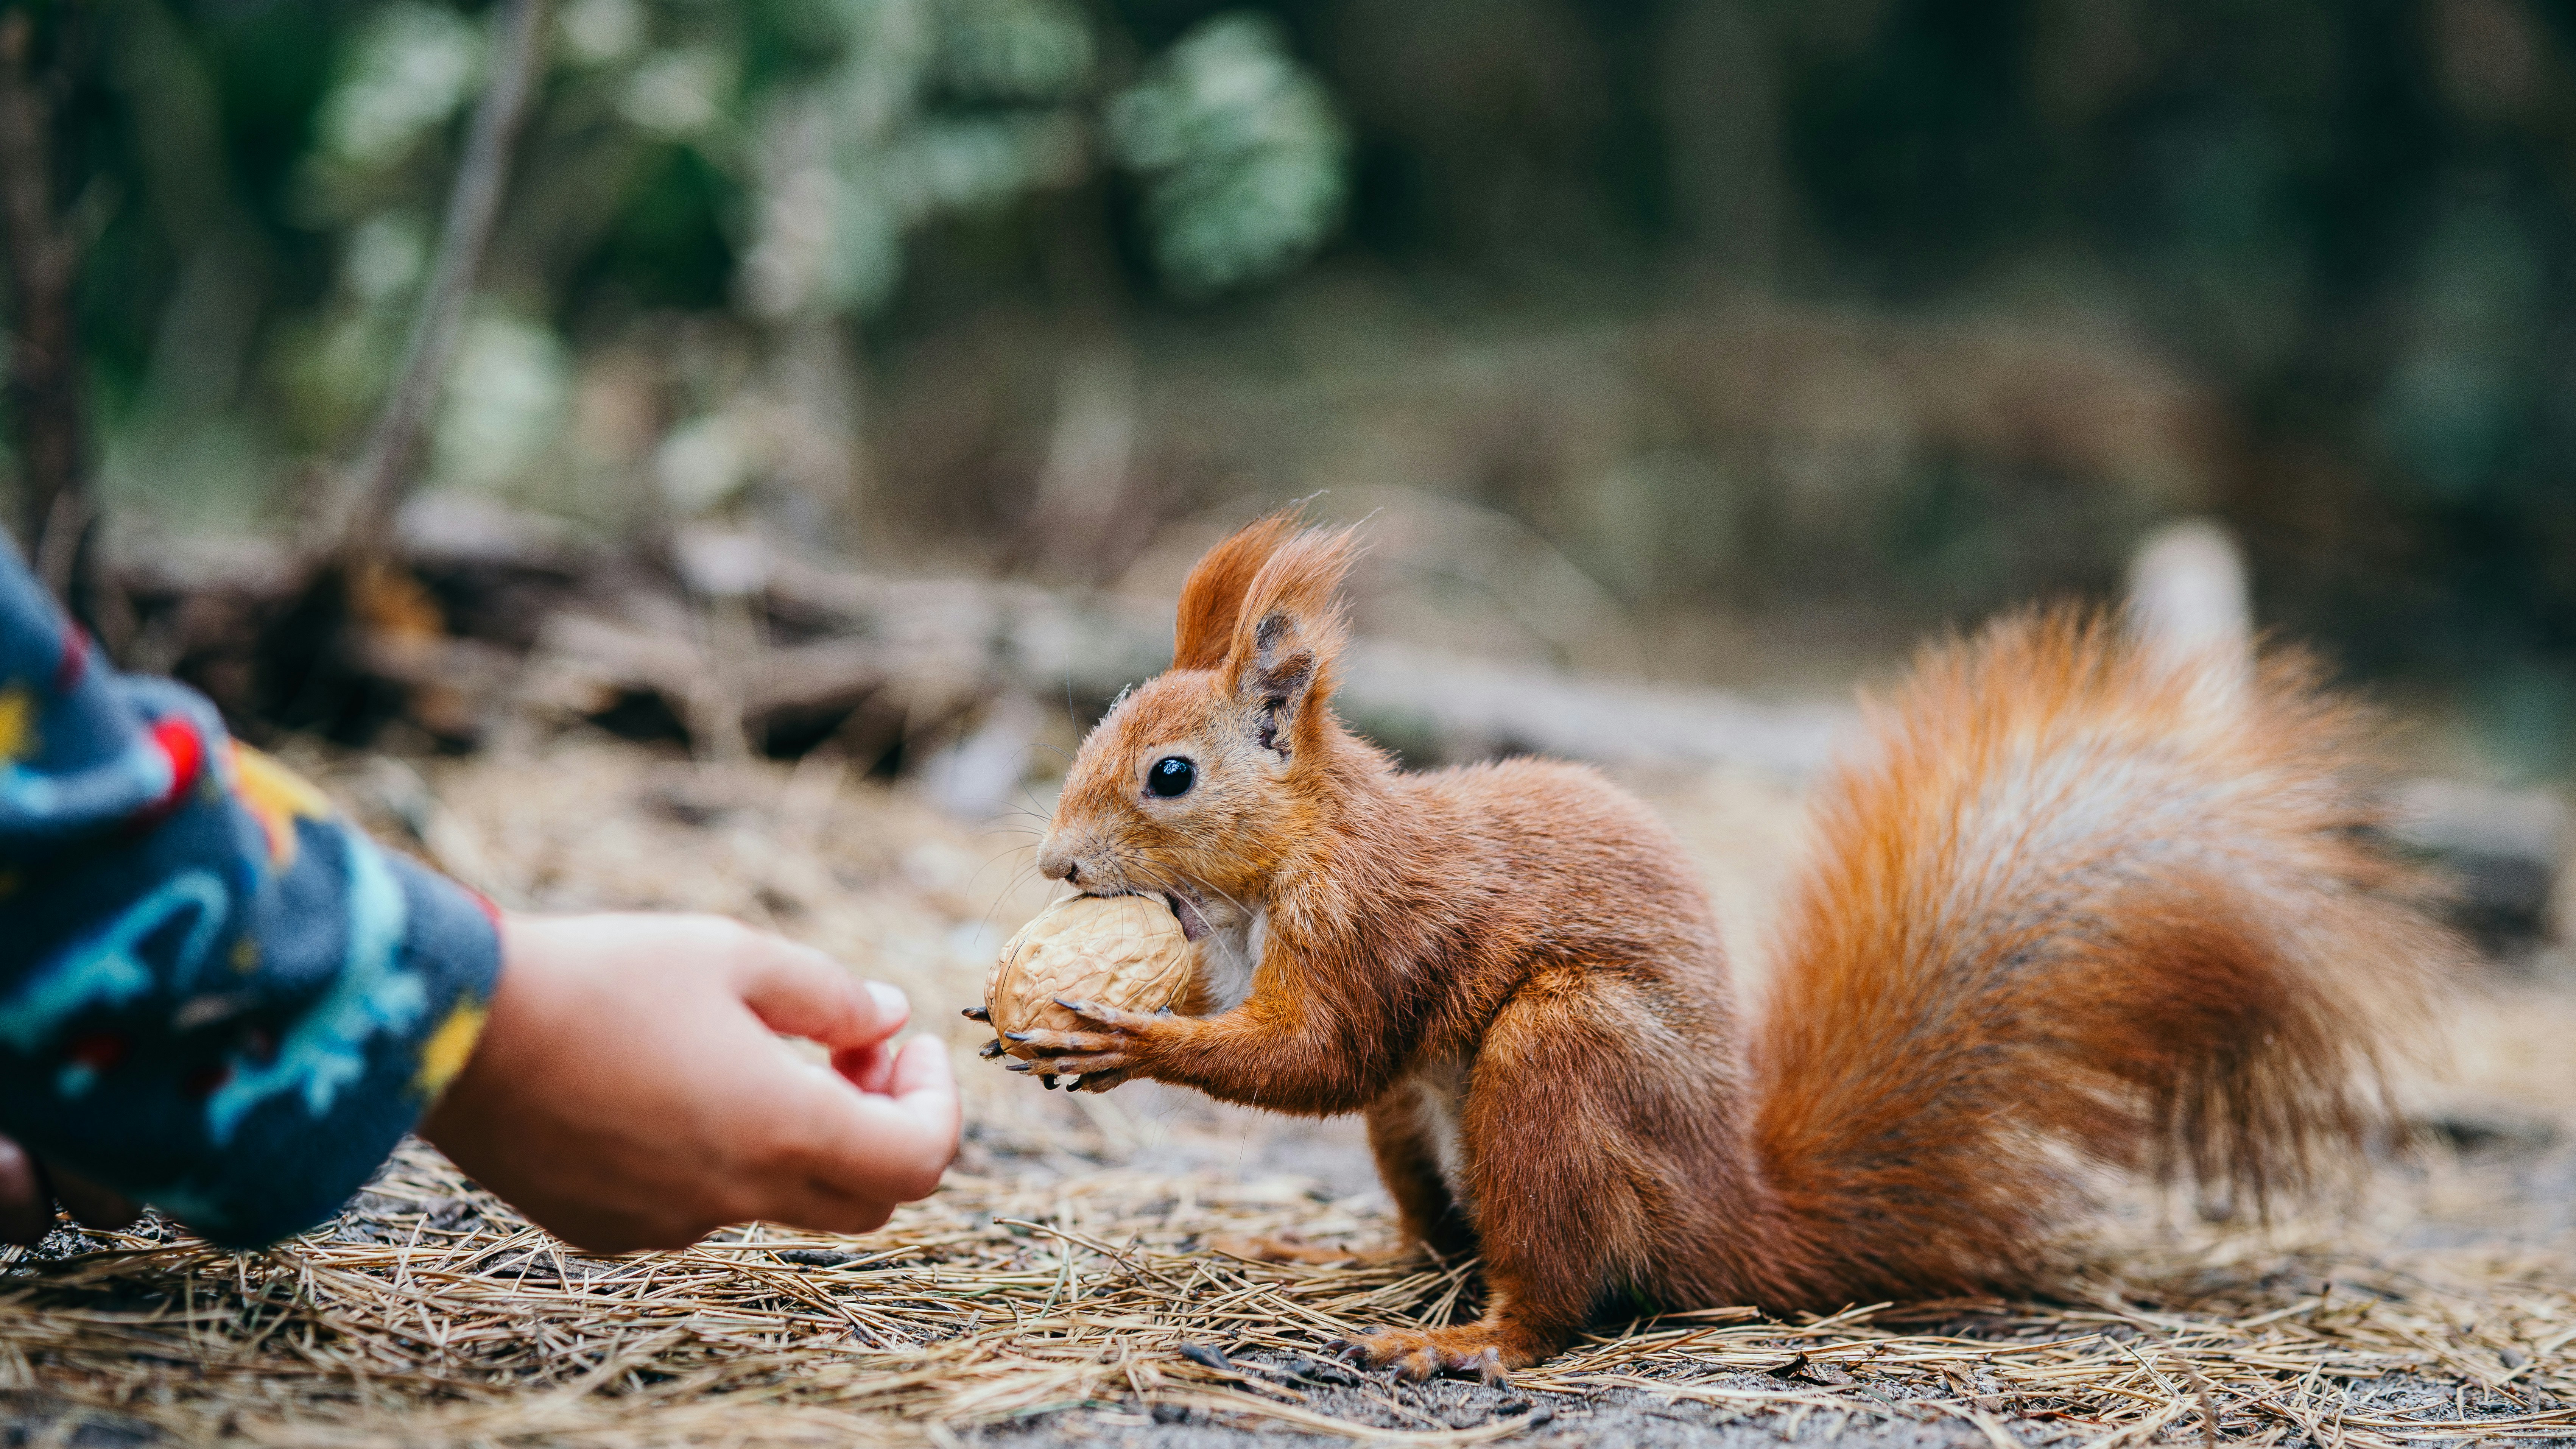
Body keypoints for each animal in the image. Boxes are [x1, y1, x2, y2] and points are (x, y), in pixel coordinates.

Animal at [1008, 512, 2453, 1382]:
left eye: (1171, 774)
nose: (1054, 865)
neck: (1277, 870)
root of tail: (1734, 1212)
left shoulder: (1370, 918)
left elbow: (1320, 1052)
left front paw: (1118, 1034)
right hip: (1424, 1127)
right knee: (1438, 1230)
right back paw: (1357, 1260)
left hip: (1560, 1056)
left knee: (1554, 1292)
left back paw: (1472, 1343)